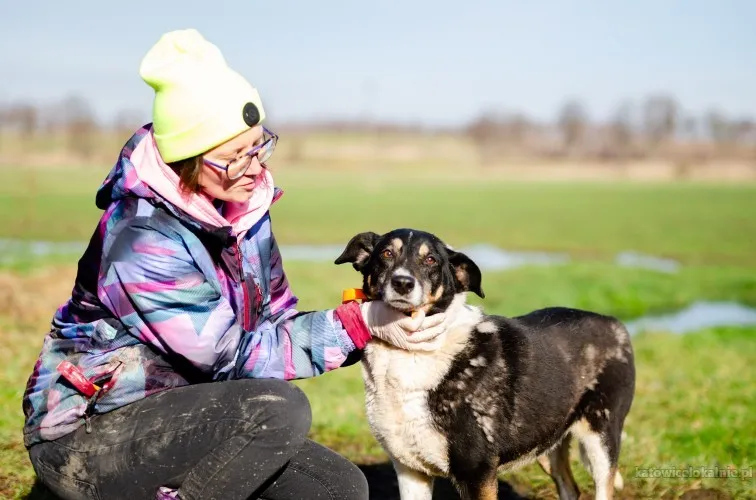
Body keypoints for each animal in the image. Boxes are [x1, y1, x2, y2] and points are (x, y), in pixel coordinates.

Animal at [334, 229, 636, 500]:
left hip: (601, 438)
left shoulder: (477, 473)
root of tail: (614, 322)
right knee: (570, 488)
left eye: (430, 260)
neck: (410, 353)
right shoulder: (411, 471)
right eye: (386, 253)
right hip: (546, 442)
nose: (403, 283)